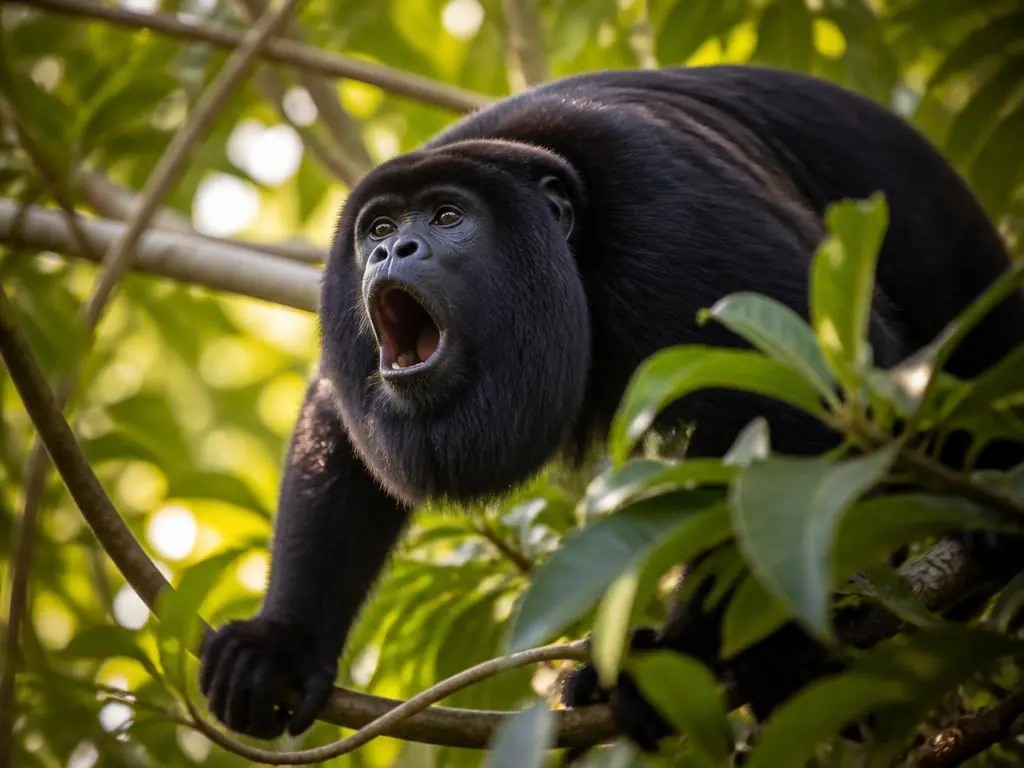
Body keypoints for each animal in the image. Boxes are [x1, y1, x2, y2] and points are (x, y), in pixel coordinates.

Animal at [197, 65, 1024, 749]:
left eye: (446, 218)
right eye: (377, 226)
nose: (387, 253)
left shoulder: (670, 214)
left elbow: (814, 390)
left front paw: (684, 659)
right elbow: (337, 427)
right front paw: (282, 645)